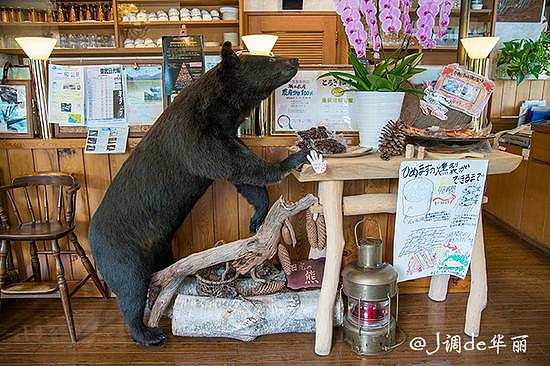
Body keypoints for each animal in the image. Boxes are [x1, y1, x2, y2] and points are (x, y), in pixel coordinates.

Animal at [88, 41, 308, 344]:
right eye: (269, 59)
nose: (295, 59)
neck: (217, 109)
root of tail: (90, 238)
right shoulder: (192, 135)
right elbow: (231, 164)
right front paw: (292, 159)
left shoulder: (225, 131)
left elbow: (241, 176)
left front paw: (257, 216)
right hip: (120, 248)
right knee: (130, 285)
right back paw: (148, 333)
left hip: (158, 244)